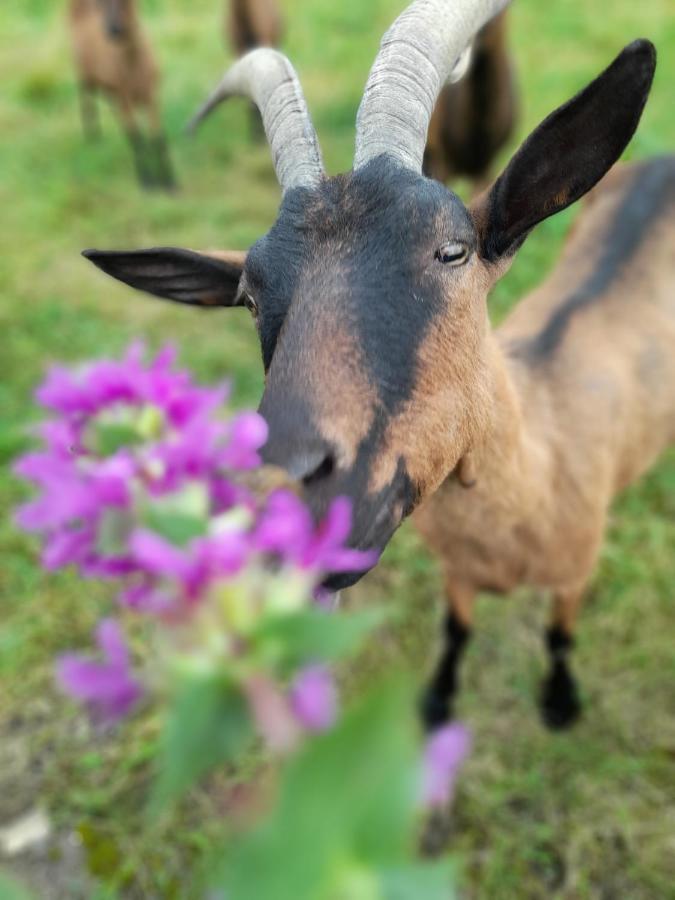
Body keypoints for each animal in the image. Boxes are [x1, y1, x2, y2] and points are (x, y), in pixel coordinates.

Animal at [67, 0, 174, 190]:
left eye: (127, 3)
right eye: (101, 4)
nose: (112, 30)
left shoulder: (152, 96)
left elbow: (158, 138)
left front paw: (170, 183)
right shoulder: (125, 99)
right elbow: (137, 140)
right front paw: (147, 183)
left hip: (108, 88)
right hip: (84, 75)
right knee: (87, 105)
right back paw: (93, 140)